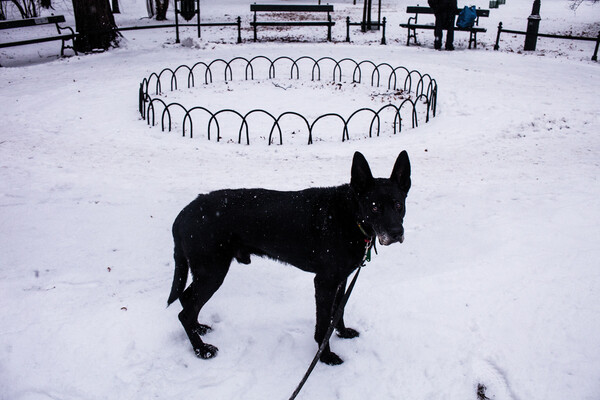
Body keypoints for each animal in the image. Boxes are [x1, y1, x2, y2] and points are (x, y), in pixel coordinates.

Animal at [170, 152, 412, 364]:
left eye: (398, 205)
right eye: (374, 207)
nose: (396, 233)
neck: (350, 216)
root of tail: (183, 213)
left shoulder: (341, 278)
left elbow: (338, 311)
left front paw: (342, 332)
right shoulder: (324, 282)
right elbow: (323, 324)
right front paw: (325, 357)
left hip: (206, 272)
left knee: (186, 299)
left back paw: (199, 329)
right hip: (212, 272)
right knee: (184, 312)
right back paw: (201, 349)